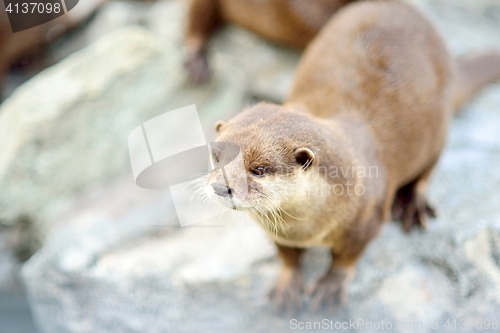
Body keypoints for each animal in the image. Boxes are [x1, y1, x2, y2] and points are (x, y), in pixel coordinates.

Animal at [203, 0, 500, 312]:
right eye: (217, 155)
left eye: (259, 169)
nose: (221, 186)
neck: (305, 228)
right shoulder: (277, 231)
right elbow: (288, 256)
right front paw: (287, 285)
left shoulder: (368, 220)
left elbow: (347, 257)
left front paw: (331, 287)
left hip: (438, 129)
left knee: (429, 167)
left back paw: (412, 204)